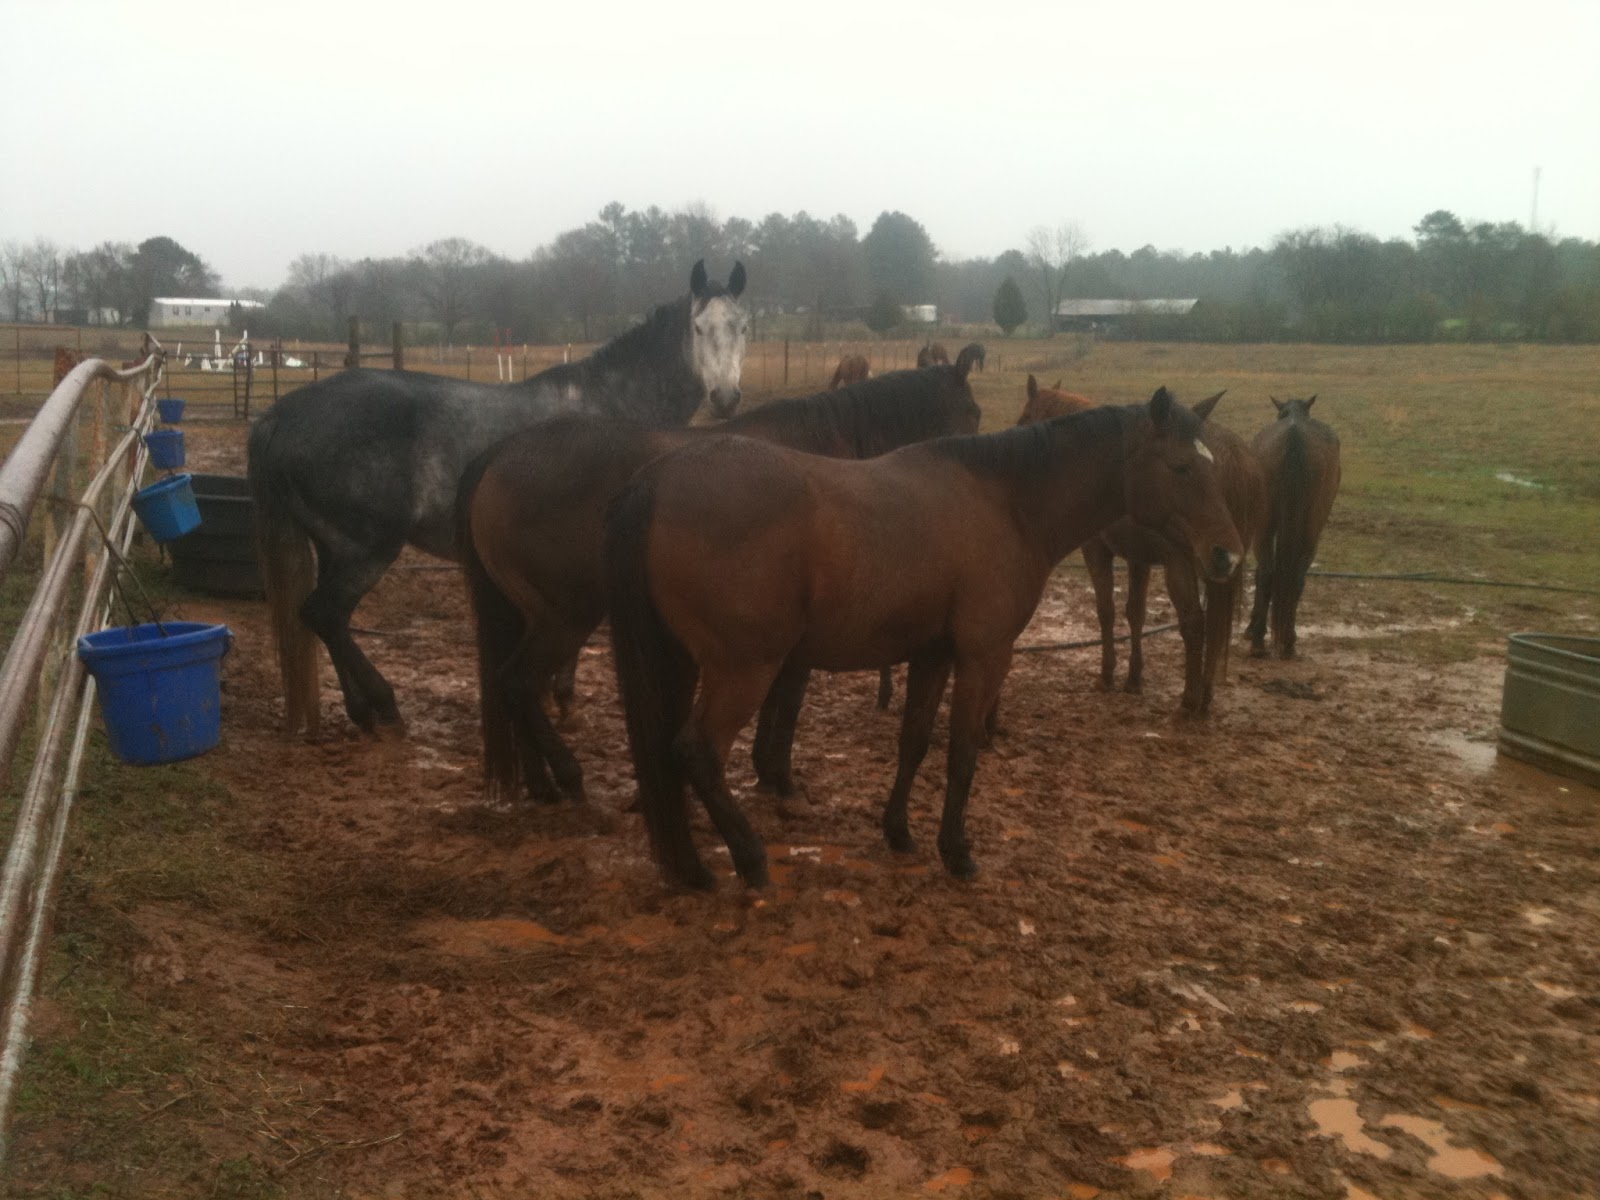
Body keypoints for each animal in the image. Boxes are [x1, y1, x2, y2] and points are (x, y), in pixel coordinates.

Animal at [248, 260, 749, 736]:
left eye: (743, 326)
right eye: (698, 327)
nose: (725, 397)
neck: (611, 409)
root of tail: (283, 413)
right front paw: (564, 702)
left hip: (334, 547)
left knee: (323, 619)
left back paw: (362, 713)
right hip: (367, 549)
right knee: (327, 614)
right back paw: (386, 708)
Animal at [459, 363, 983, 807]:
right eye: (975, 413)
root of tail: (498, 453)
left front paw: (766, 772)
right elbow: (788, 702)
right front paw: (780, 777)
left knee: (515, 689)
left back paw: (542, 785)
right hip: (565, 617)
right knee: (519, 683)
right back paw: (569, 777)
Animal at [604, 388, 1243, 891]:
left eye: (1214, 469)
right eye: (1181, 467)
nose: (1227, 555)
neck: (1005, 502)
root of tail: (654, 482)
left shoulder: (932, 656)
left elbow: (913, 742)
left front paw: (899, 832)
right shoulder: (984, 656)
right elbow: (962, 753)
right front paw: (956, 853)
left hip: (686, 665)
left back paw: (692, 866)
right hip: (744, 668)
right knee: (696, 750)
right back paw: (750, 858)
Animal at [1246, 396, 1341, 659]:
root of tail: (1294, 437)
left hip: (1265, 527)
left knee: (1267, 572)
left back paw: (1259, 640)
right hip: (1312, 528)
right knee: (1295, 576)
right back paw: (1286, 641)